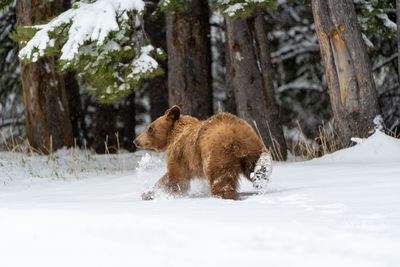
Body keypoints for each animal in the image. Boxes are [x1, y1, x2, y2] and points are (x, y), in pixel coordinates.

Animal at [134, 105, 272, 200]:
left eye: (150, 128)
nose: (136, 140)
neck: (173, 136)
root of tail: (235, 136)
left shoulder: (180, 155)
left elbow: (175, 177)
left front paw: (149, 193)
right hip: (253, 146)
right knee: (258, 168)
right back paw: (260, 180)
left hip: (216, 154)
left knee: (220, 180)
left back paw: (223, 196)